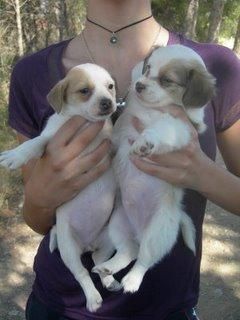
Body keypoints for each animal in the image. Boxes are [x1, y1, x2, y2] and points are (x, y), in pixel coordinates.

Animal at [0, 63, 120, 312]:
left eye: (110, 87)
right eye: (84, 91)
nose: (108, 102)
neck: (84, 121)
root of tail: (88, 245)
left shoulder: (111, 144)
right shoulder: (51, 140)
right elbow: (35, 142)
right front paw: (16, 155)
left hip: (108, 239)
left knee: (98, 263)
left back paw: (109, 280)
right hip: (68, 250)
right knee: (82, 272)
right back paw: (93, 298)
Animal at [92, 44, 216, 292]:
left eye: (167, 80)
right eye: (148, 68)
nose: (140, 86)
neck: (152, 108)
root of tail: (139, 231)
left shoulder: (181, 127)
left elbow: (162, 127)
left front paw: (145, 142)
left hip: (158, 233)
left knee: (144, 259)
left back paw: (131, 281)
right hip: (118, 224)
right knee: (129, 251)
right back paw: (107, 268)